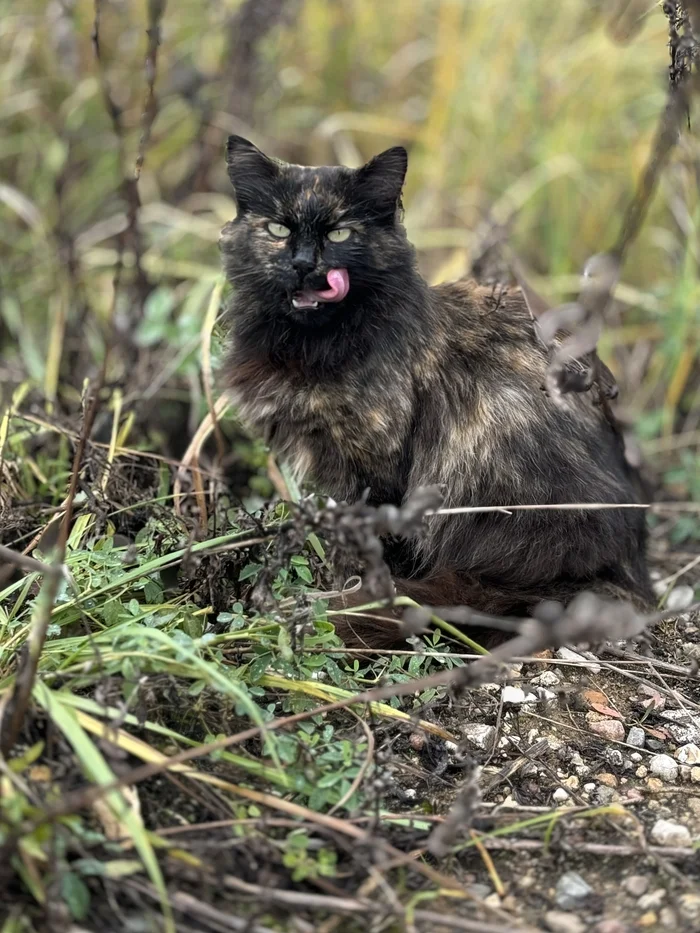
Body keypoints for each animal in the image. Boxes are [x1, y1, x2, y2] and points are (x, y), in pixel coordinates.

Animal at [220, 137, 656, 648]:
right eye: (277, 228)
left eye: (342, 234)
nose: (305, 264)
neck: (310, 346)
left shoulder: (375, 468)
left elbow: (365, 546)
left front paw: (349, 597)